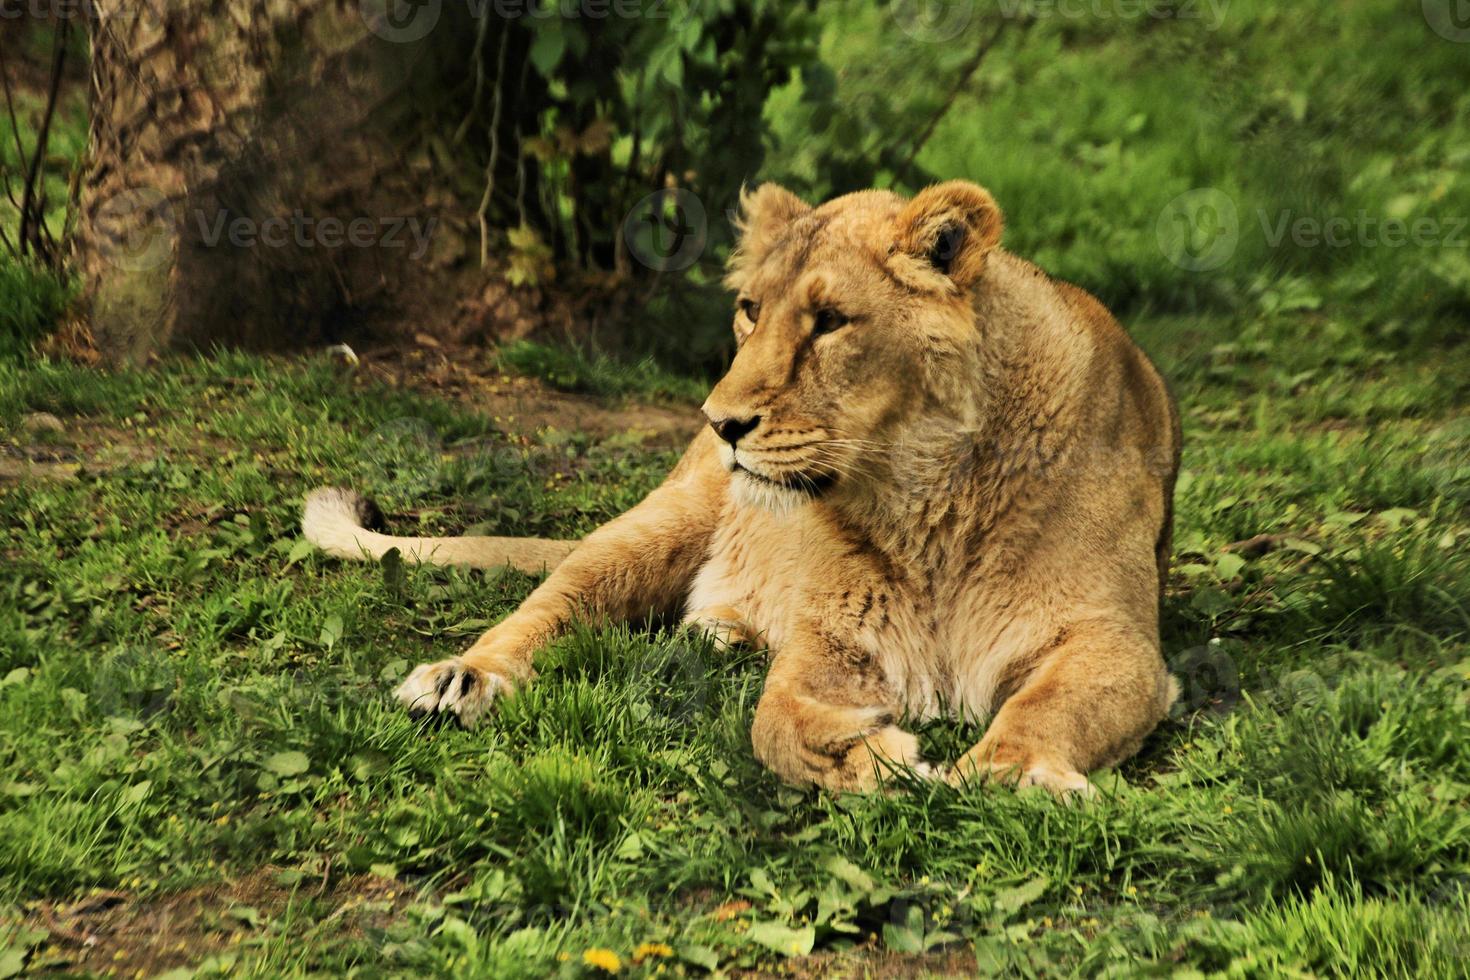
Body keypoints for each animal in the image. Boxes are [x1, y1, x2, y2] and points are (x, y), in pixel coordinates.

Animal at [301, 182, 1181, 799]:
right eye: (750, 311)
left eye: (830, 321)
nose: (721, 420)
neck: (923, 499)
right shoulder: (834, 636)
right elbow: (774, 722)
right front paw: (870, 757)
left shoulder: (1117, 641)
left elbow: (1045, 707)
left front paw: (1010, 772)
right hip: (659, 522)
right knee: (551, 603)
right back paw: (463, 677)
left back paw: (720, 635)